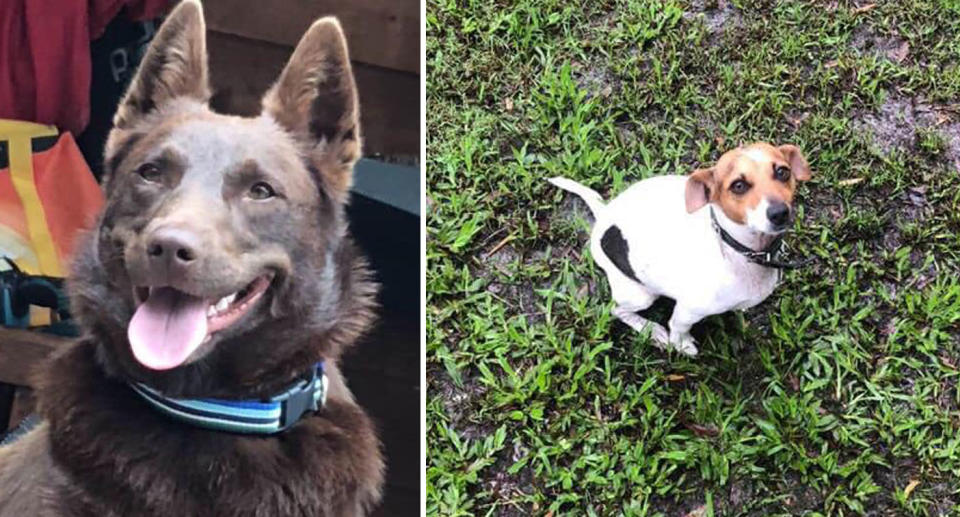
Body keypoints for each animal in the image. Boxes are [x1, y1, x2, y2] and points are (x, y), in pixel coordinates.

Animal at [548, 143, 808, 356]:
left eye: (782, 172)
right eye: (739, 185)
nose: (779, 213)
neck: (736, 249)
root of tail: (604, 217)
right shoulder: (686, 312)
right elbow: (678, 328)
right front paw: (681, 344)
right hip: (640, 295)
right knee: (617, 311)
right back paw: (651, 330)